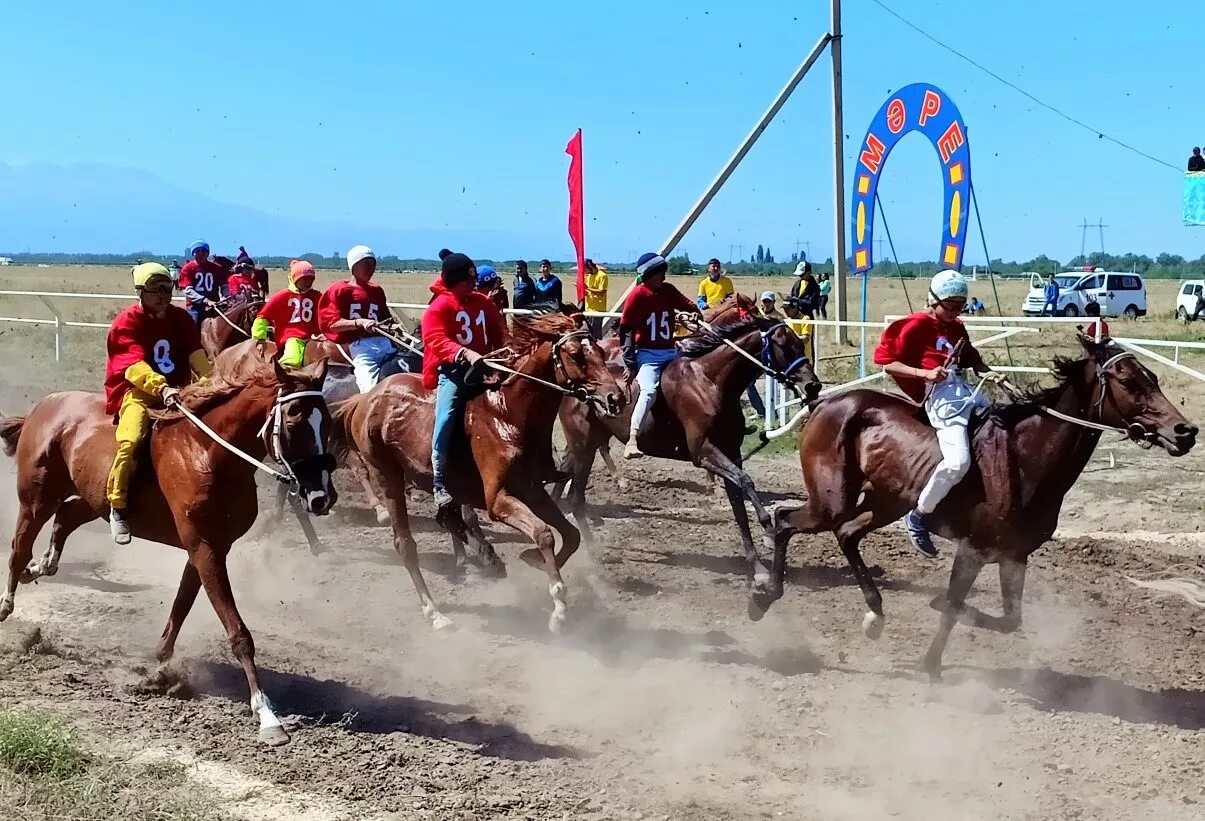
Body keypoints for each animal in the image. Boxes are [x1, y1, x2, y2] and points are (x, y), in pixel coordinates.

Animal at [0, 359, 337, 742]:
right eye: (294, 422)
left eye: (327, 422)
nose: (322, 496)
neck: (206, 453)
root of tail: (43, 406)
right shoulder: (204, 548)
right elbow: (238, 633)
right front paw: (266, 713)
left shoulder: (208, 548)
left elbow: (181, 606)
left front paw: (158, 667)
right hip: (36, 499)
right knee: (19, 548)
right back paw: (8, 602)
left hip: (94, 495)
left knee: (66, 517)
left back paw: (42, 566)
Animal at [332, 311, 626, 631]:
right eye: (576, 355)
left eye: (600, 352)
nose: (615, 398)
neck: (508, 414)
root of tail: (366, 398)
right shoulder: (498, 501)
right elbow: (543, 533)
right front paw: (558, 606)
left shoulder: (532, 491)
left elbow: (570, 535)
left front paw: (532, 560)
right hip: (388, 476)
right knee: (405, 544)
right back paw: (435, 612)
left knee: (448, 520)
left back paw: (487, 559)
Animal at [551, 298, 819, 614]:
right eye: (783, 344)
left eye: (801, 343)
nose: (813, 385)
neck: (710, 381)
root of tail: (572, 384)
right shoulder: (704, 452)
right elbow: (746, 482)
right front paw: (767, 529)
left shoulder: (731, 454)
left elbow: (739, 508)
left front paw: (758, 570)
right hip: (583, 445)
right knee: (576, 497)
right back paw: (593, 553)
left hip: (585, 445)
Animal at [771, 332, 1195, 679]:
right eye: (1127, 381)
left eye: (1153, 377)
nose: (1185, 431)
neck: (1025, 458)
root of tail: (826, 403)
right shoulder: (973, 549)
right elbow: (953, 605)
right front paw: (932, 660)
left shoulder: (1014, 555)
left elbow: (1009, 620)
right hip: (831, 501)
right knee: (783, 519)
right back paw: (765, 594)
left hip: (886, 502)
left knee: (845, 533)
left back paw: (874, 613)